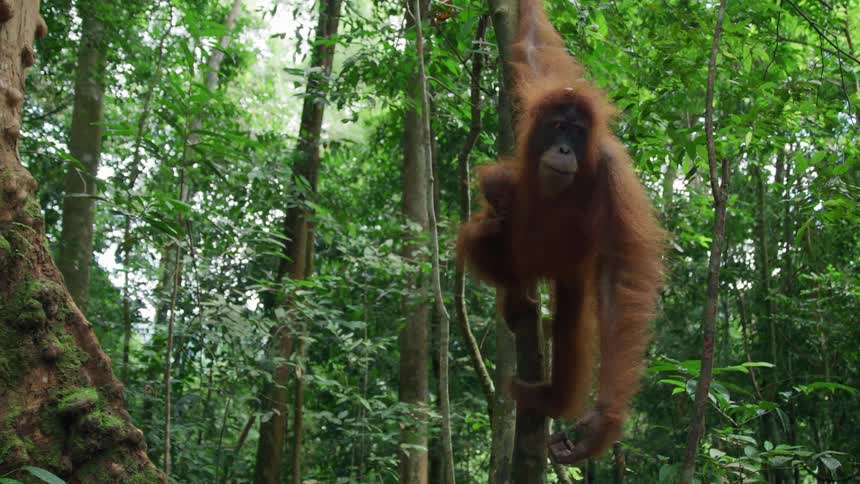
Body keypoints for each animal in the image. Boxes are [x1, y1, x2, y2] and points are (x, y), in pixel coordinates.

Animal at [456, 0, 665, 464]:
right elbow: (536, 48)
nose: (565, 149)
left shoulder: (612, 175)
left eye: (577, 132)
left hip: (569, 275)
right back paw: (516, 292)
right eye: (557, 127)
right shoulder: (546, 88)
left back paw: (552, 398)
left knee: (571, 322)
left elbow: (620, 277)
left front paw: (600, 423)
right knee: (483, 235)